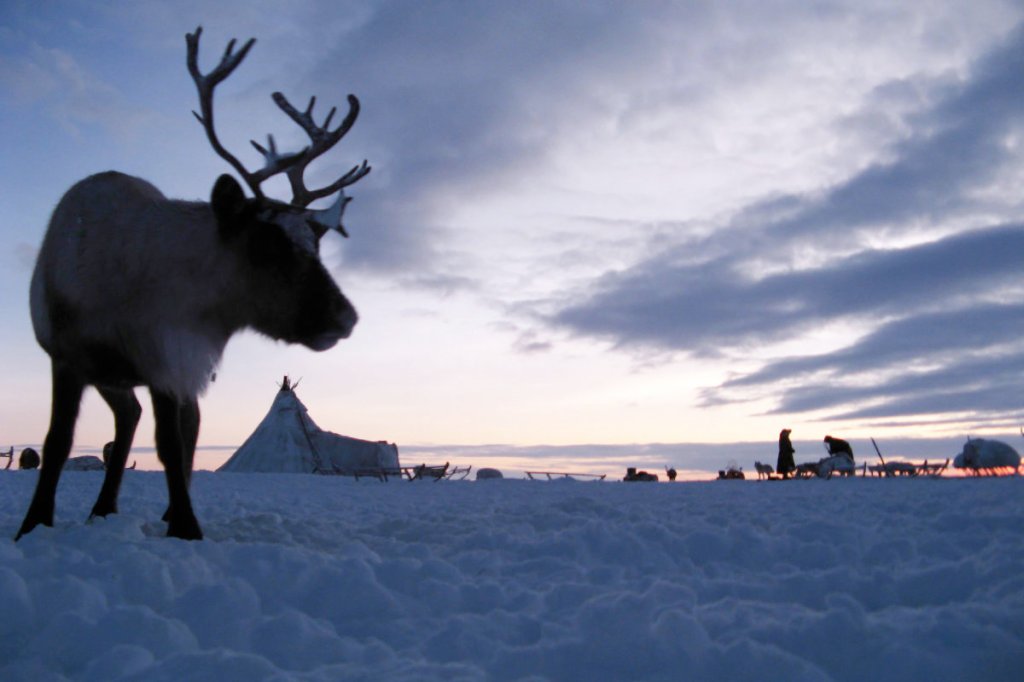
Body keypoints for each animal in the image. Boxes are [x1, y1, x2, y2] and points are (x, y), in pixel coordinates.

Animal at [16, 27, 370, 541]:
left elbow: (170, 441)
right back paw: (103, 508)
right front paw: (33, 524)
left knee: (173, 423)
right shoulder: (68, 355)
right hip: (112, 374)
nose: (346, 317)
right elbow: (57, 440)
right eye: (266, 245)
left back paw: (133, 508)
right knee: (130, 417)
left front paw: (184, 525)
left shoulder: (170, 360)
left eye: (315, 243)